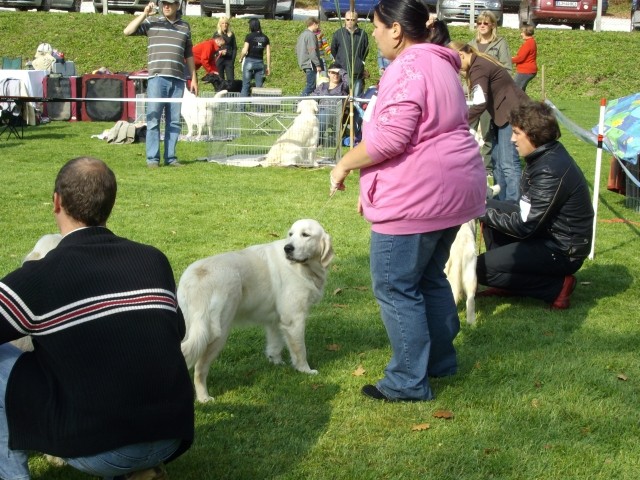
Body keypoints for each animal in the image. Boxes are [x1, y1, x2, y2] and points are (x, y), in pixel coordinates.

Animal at [178, 219, 332, 404]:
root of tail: (196, 277)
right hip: (218, 332)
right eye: (291, 234)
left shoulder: (276, 320)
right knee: (200, 368)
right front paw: (305, 370)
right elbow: (300, 350)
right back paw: (204, 398)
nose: (288, 248)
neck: (305, 267)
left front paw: (276, 363)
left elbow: (275, 345)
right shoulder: (294, 319)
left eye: (305, 235)